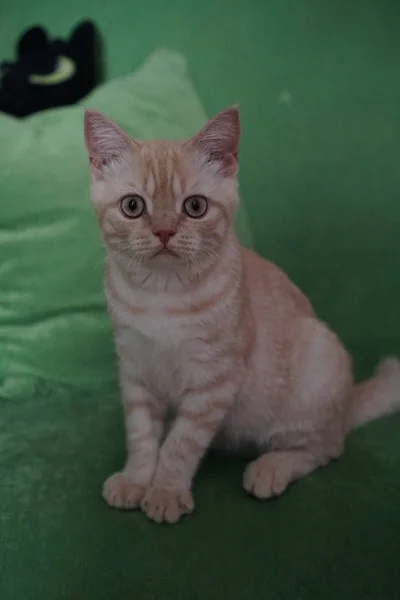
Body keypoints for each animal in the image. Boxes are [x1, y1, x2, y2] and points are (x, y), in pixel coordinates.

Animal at [83, 105, 400, 524]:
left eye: (195, 206)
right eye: (133, 206)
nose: (164, 232)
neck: (160, 297)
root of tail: (348, 403)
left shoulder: (214, 380)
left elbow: (180, 444)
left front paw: (166, 491)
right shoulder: (135, 370)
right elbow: (141, 434)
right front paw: (136, 479)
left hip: (318, 366)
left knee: (325, 448)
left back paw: (271, 468)